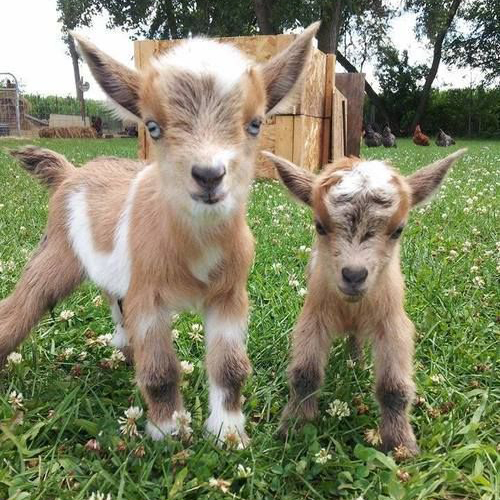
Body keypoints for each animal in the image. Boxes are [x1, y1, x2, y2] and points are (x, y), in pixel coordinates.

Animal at [0, 22, 320, 446]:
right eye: (152, 126)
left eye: (255, 124)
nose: (208, 175)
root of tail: (70, 173)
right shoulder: (149, 297)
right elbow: (160, 369)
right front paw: (167, 430)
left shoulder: (229, 295)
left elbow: (230, 366)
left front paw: (228, 432)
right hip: (57, 253)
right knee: (24, 304)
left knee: (114, 305)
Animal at [263, 148, 467, 456]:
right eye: (319, 226)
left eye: (398, 230)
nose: (354, 275)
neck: (352, 307)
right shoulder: (313, 317)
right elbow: (305, 374)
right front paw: (295, 426)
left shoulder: (392, 323)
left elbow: (393, 387)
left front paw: (401, 444)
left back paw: (356, 362)